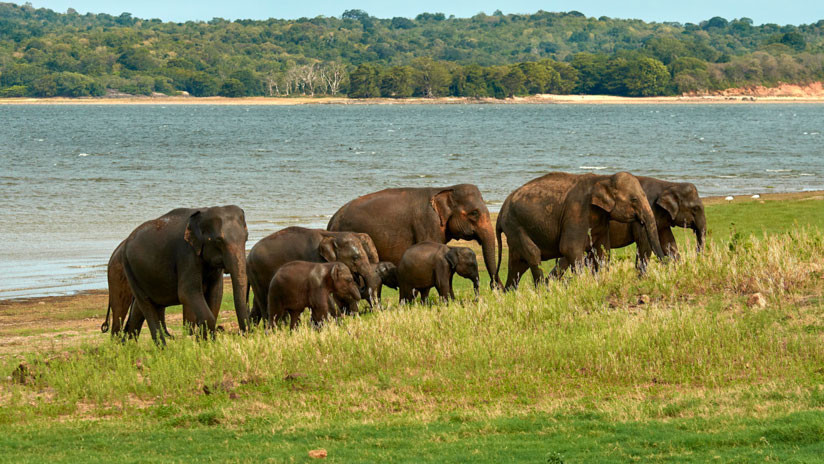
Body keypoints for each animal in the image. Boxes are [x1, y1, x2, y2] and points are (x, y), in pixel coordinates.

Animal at [108, 207, 253, 344]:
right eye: (218, 240)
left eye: (246, 238)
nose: (243, 334)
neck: (203, 213)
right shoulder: (186, 253)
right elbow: (186, 292)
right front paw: (207, 344)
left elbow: (216, 294)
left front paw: (205, 343)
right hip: (129, 269)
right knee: (146, 303)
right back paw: (162, 349)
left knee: (139, 307)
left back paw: (128, 345)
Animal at [246, 227, 382, 324]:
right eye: (355, 257)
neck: (332, 235)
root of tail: (247, 257)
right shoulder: (315, 259)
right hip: (257, 274)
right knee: (265, 302)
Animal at [496, 171, 664, 290]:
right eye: (634, 199)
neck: (603, 178)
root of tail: (501, 211)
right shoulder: (576, 211)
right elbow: (568, 248)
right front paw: (584, 285)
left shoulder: (602, 219)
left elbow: (602, 250)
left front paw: (601, 281)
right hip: (514, 225)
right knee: (533, 254)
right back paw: (543, 291)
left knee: (517, 264)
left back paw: (509, 294)